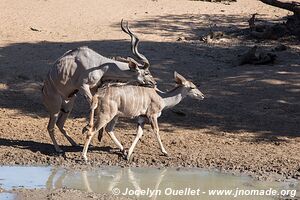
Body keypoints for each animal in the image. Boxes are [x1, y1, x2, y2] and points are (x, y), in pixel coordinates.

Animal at [42, 20, 155, 152]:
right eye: (146, 73)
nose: (154, 83)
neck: (99, 64)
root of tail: (44, 90)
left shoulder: (94, 88)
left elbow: (95, 104)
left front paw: (98, 134)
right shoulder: (83, 86)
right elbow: (93, 103)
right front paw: (88, 127)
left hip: (69, 104)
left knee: (59, 124)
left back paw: (74, 143)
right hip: (55, 107)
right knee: (50, 126)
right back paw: (58, 149)